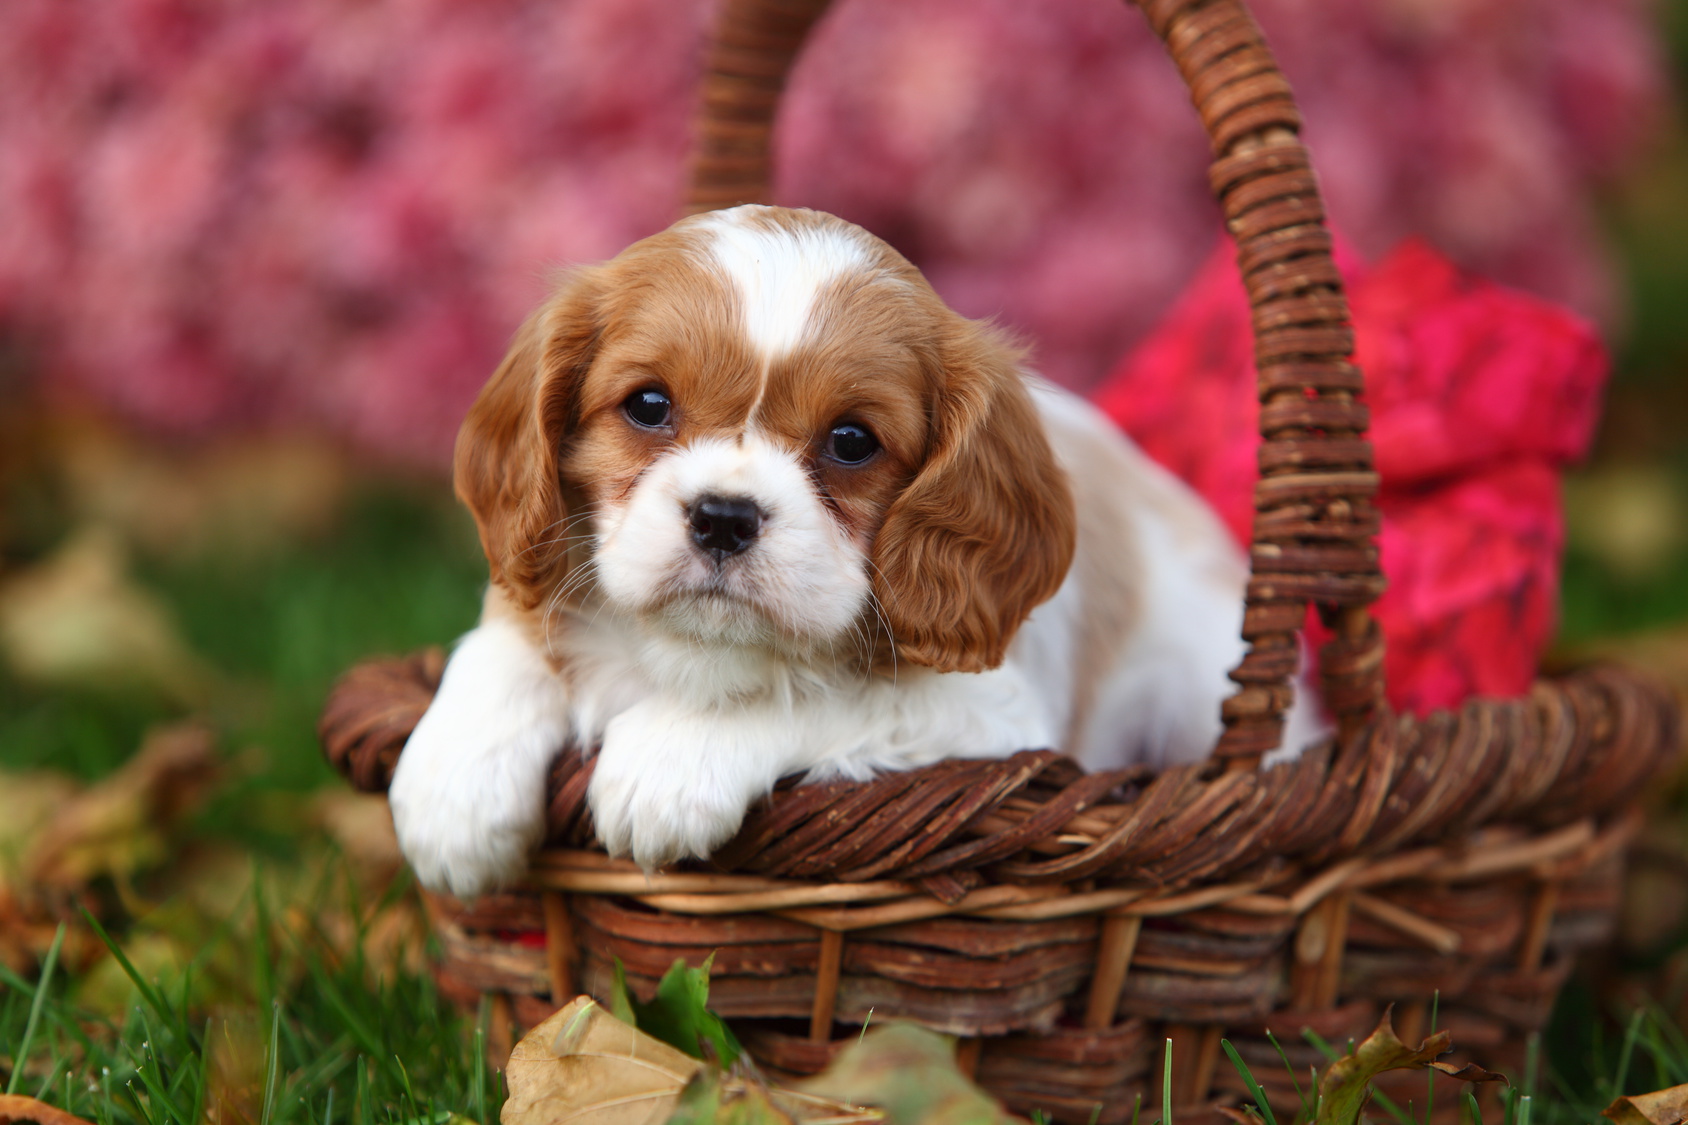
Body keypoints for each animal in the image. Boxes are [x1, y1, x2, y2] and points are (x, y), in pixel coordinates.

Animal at [391, 206, 1316, 898]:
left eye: (851, 441)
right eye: (648, 405)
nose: (724, 516)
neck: (693, 652)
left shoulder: (991, 717)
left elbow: (817, 695)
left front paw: (669, 759)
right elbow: (499, 645)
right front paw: (451, 792)